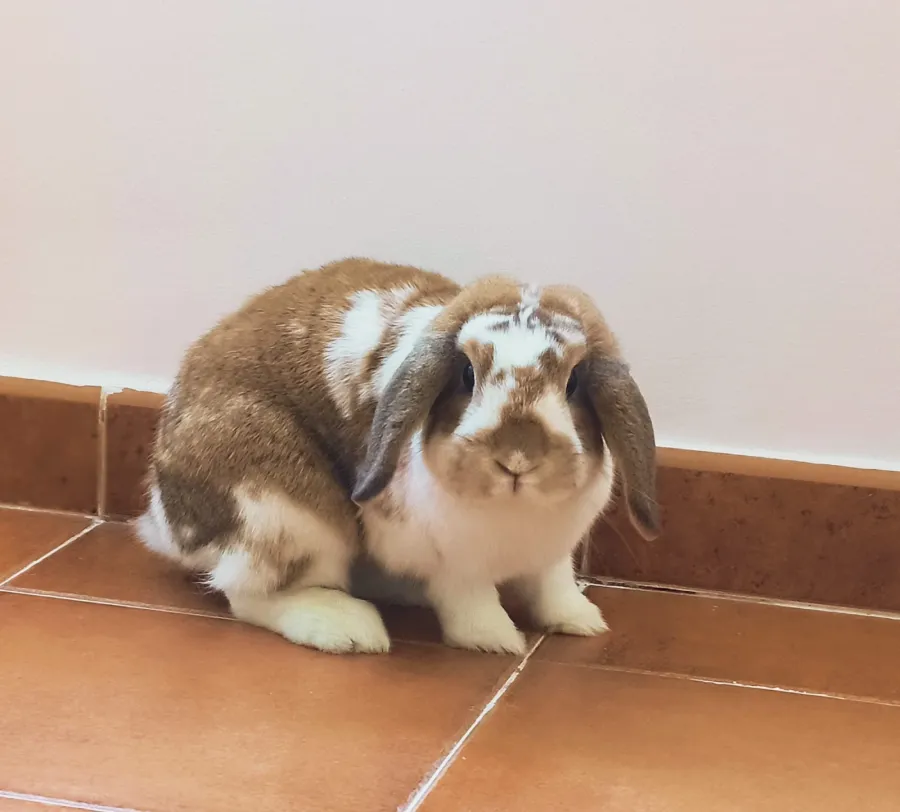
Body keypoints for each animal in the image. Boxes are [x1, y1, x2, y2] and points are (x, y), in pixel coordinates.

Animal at [136, 258, 659, 655]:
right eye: (466, 374)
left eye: (573, 383)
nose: (516, 456)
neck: (516, 511)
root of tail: (165, 519)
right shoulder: (453, 561)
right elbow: (471, 601)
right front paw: (495, 640)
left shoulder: (553, 555)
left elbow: (554, 587)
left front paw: (581, 620)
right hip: (286, 514)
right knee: (248, 595)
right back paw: (348, 628)